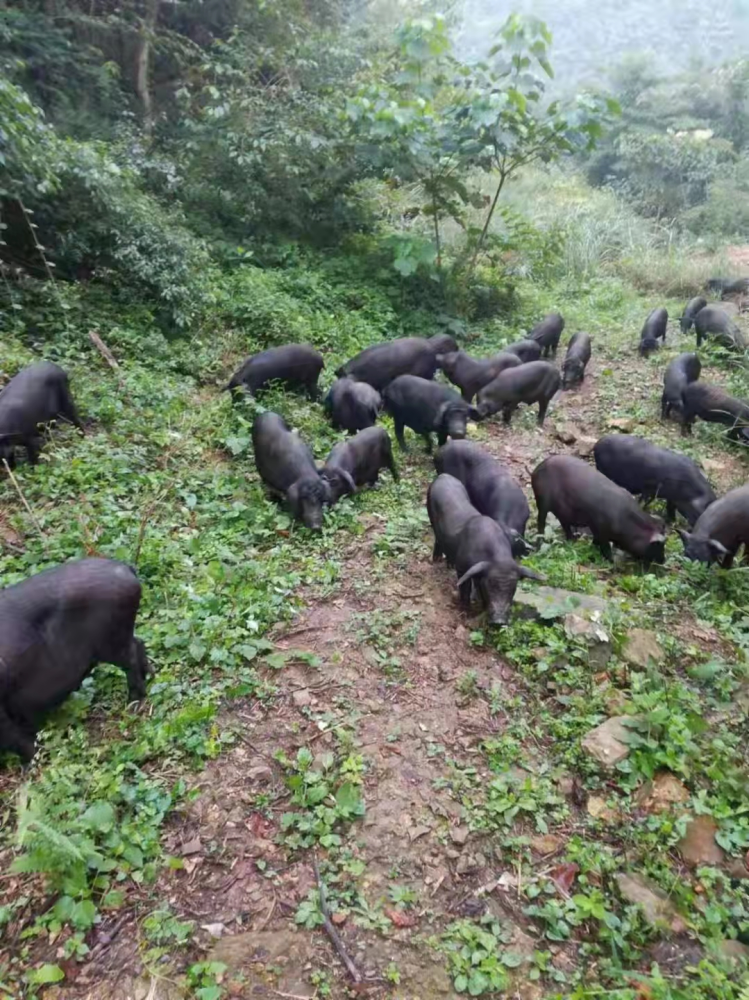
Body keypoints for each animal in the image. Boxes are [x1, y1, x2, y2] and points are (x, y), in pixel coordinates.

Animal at [0, 560, 149, 760]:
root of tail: (125, 568)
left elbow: (15, 738)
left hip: (111, 640)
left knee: (131, 657)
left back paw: (133, 705)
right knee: (139, 643)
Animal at [424, 476, 540, 624]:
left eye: (513, 588)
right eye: (490, 584)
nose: (499, 621)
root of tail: (443, 476)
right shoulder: (462, 567)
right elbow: (464, 589)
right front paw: (465, 612)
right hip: (430, 512)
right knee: (437, 538)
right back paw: (436, 560)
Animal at [532, 456, 668, 564]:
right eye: (658, 546)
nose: (663, 561)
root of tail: (536, 469)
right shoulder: (600, 529)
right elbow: (605, 547)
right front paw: (611, 563)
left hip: (562, 512)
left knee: (564, 524)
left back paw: (573, 540)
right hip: (542, 502)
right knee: (541, 523)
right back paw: (539, 545)